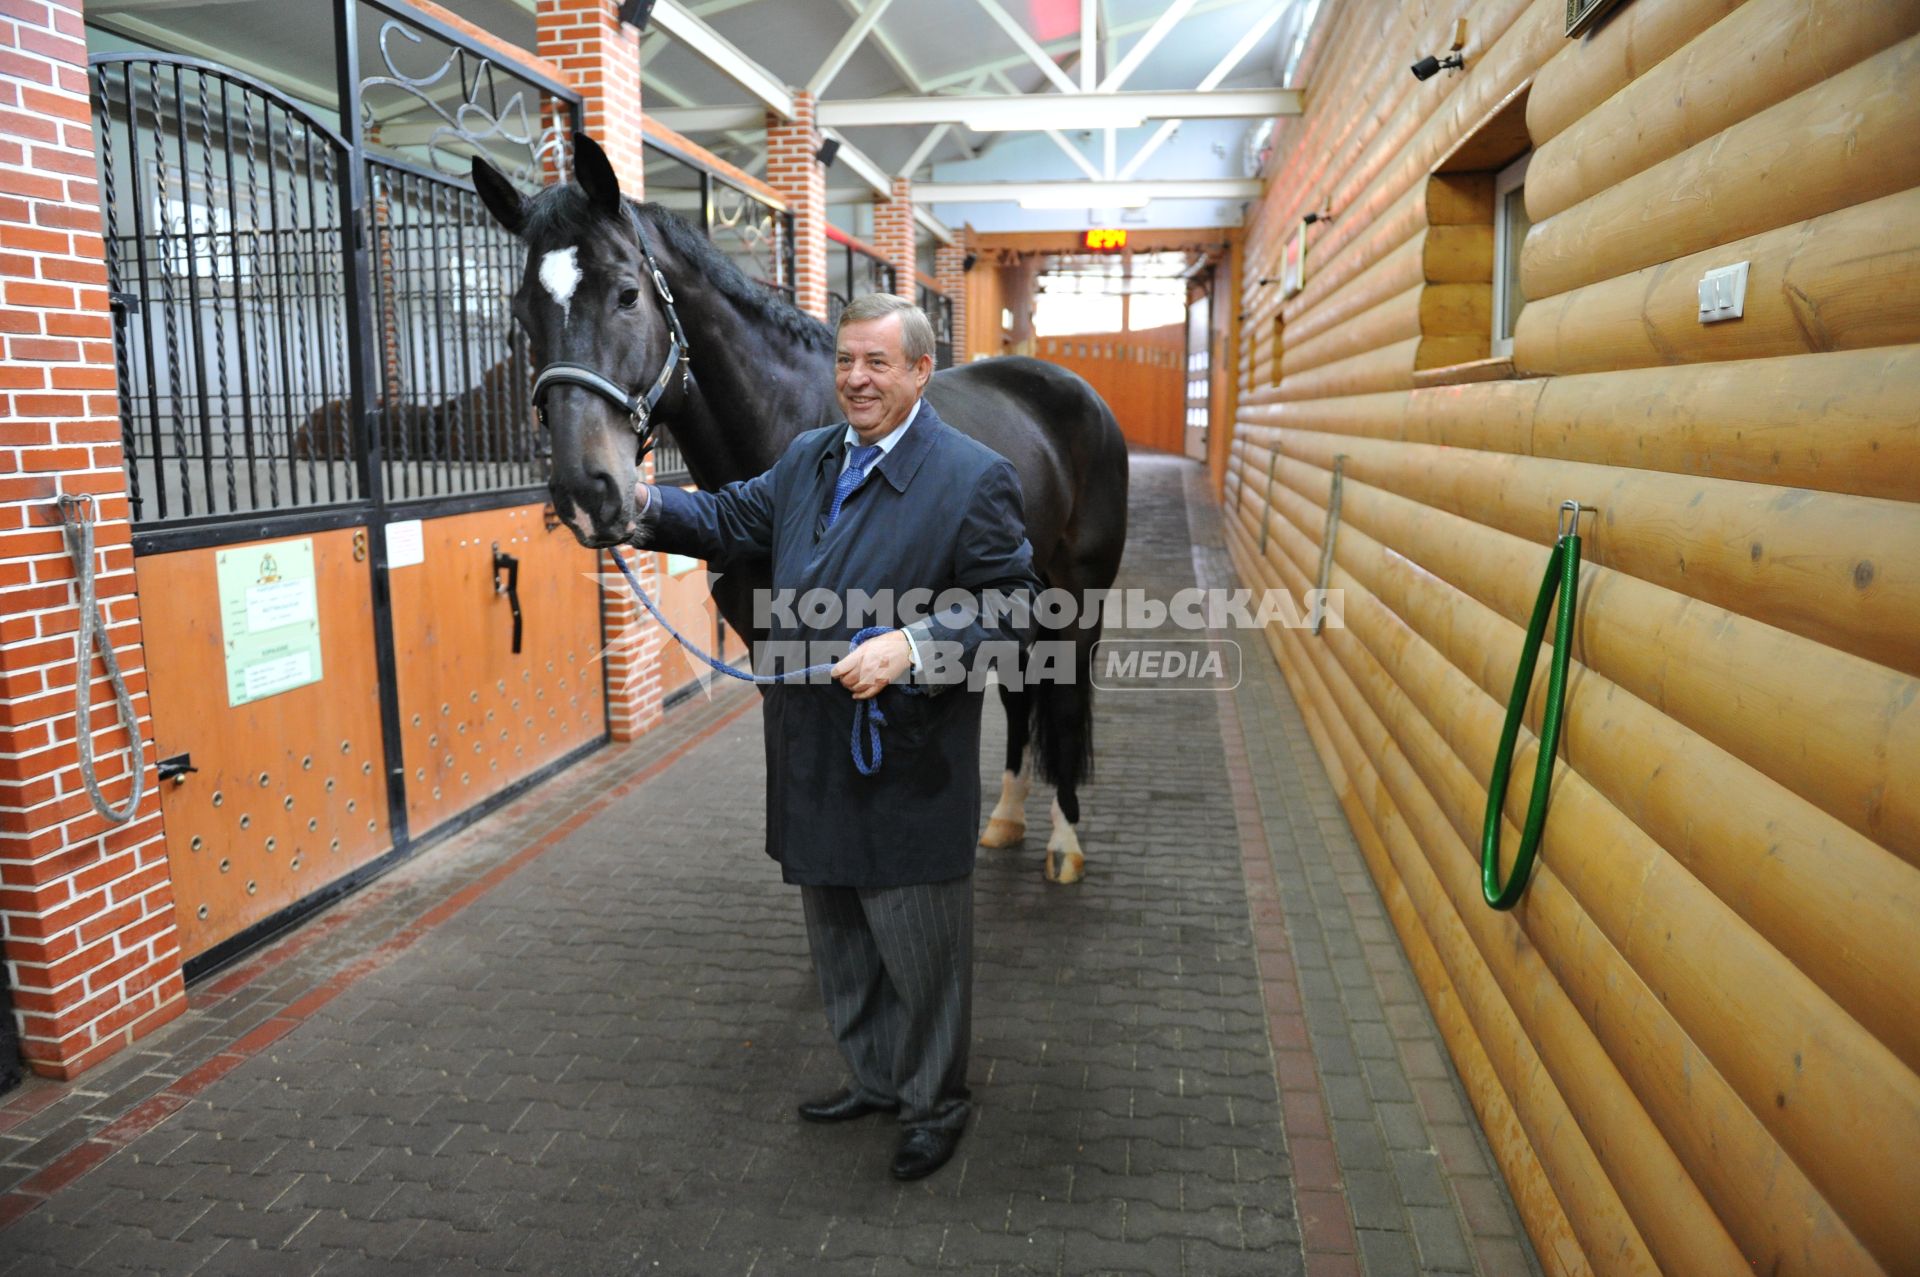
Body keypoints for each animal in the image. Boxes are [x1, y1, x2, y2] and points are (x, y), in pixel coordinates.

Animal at [470, 134, 1121, 883]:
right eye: (521, 315)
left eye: (628, 295)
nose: (585, 490)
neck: (790, 424)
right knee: (1019, 691)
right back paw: (1006, 819)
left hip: (1076, 600)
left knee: (1060, 701)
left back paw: (1064, 843)